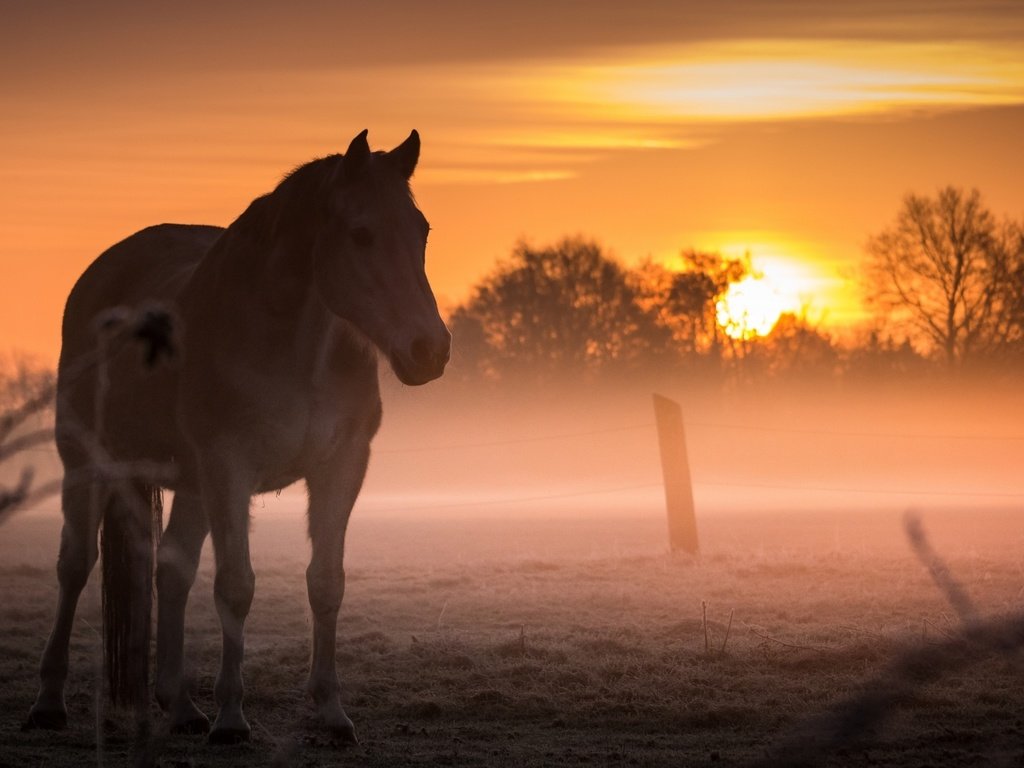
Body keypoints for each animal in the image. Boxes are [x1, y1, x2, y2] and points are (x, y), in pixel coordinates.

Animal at [23, 129, 448, 741]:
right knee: (75, 565)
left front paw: (331, 711)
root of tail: (101, 274)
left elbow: (326, 582)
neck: (296, 349)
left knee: (172, 570)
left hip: (192, 485)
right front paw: (231, 718)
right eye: (361, 233)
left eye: (422, 230)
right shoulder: (229, 468)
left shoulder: (341, 467)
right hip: (88, 462)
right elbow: (236, 586)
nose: (429, 350)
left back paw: (179, 705)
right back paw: (49, 703)